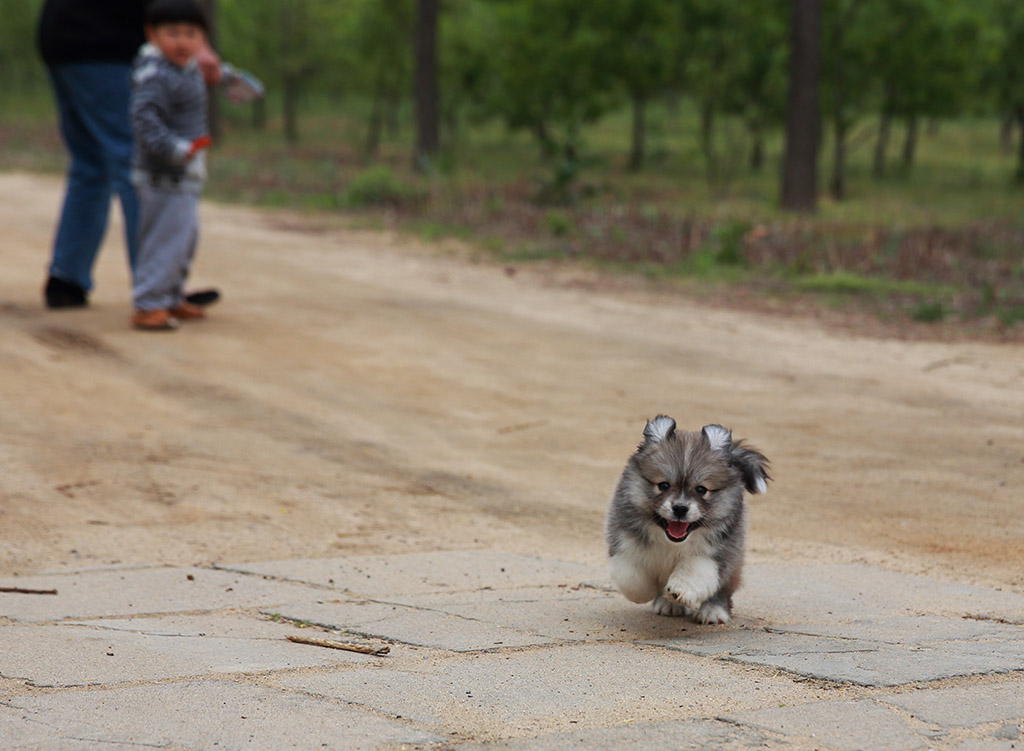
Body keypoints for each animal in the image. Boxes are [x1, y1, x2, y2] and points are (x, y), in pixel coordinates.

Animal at [606, 415, 770, 622]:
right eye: (663, 485)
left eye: (701, 489)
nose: (680, 508)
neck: (670, 541)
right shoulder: (625, 543)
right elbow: (632, 578)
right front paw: (647, 591)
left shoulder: (715, 552)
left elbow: (694, 571)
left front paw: (680, 590)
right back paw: (668, 604)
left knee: (724, 586)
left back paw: (713, 610)